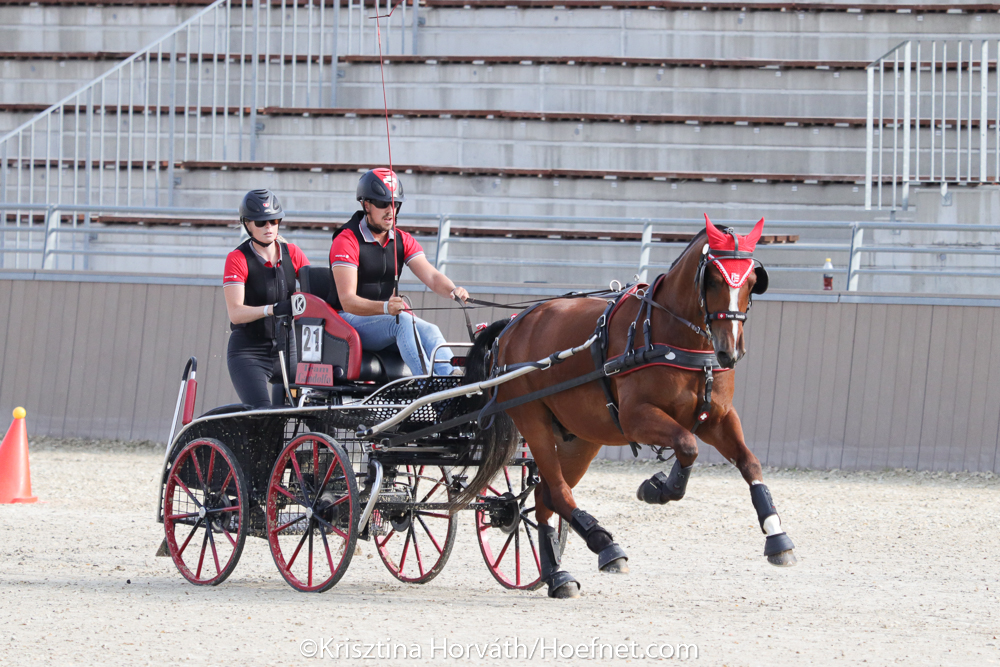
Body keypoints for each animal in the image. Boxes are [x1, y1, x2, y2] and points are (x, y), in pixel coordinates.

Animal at [458, 215, 796, 600]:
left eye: (752, 281)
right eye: (712, 278)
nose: (731, 350)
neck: (668, 335)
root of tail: (512, 326)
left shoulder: (718, 418)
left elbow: (749, 462)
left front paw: (776, 534)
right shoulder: (637, 418)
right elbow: (687, 445)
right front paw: (657, 487)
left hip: (580, 439)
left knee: (544, 498)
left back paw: (557, 575)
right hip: (534, 421)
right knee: (557, 491)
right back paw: (604, 545)